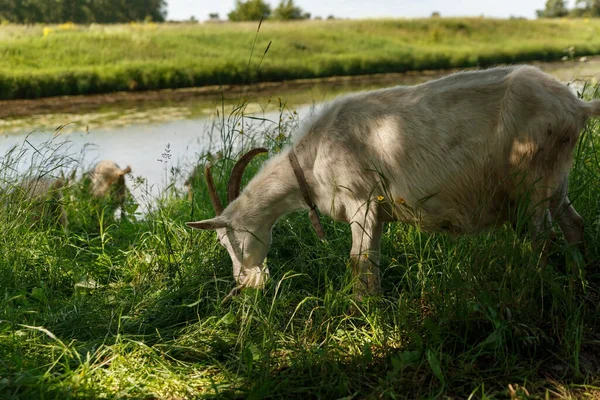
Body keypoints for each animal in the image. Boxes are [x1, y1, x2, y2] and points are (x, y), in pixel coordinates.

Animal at [188, 65, 600, 296]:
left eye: (227, 240)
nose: (244, 284)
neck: (311, 158)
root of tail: (577, 106)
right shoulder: (378, 214)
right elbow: (372, 261)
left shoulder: (362, 201)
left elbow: (358, 262)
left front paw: (360, 312)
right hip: (556, 180)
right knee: (574, 225)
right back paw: (581, 279)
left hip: (531, 179)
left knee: (543, 238)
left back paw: (538, 288)